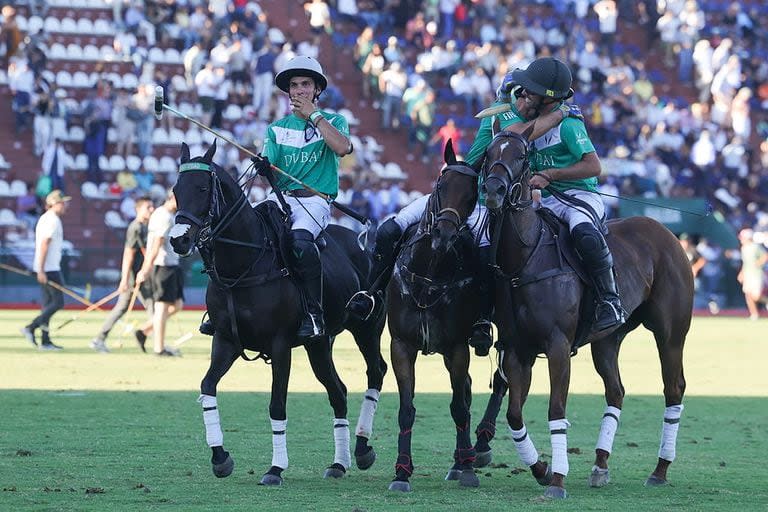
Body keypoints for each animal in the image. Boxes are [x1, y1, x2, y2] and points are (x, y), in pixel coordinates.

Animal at [168, 143, 384, 484]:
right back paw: (339, 463)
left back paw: (362, 450)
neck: (243, 263)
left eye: (202, 189)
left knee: (375, 372)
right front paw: (220, 458)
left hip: (367, 326)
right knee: (337, 391)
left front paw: (275, 468)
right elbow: (207, 388)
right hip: (320, 343)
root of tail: (364, 243)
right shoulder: (226, 341)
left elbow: (277, 404)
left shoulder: (280, 345)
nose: (179, 239)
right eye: (176, 190)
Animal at [390, 143, 486, 492]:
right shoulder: (401, 345)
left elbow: (458, 407)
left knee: (467, 394)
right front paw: (402, 471)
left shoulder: (457, 347)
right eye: (441, 186)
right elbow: (406, 409)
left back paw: (464, 460)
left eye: (472, 194)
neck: (428, 276)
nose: (443, 235)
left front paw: (468, 469)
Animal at [480, 126, 688, 498]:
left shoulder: (558, 345)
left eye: (521, 155)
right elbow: (515, 414)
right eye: (489, 154)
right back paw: (600, 465)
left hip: (671, 333)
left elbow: (556, 410)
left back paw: (660, 469)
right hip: (607, 339)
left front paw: (557, 481)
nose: (493, 190)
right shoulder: (518, 350)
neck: (525, 259)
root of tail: (666, 231)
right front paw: (542, 469)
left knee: (673, 388)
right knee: (616, 390)